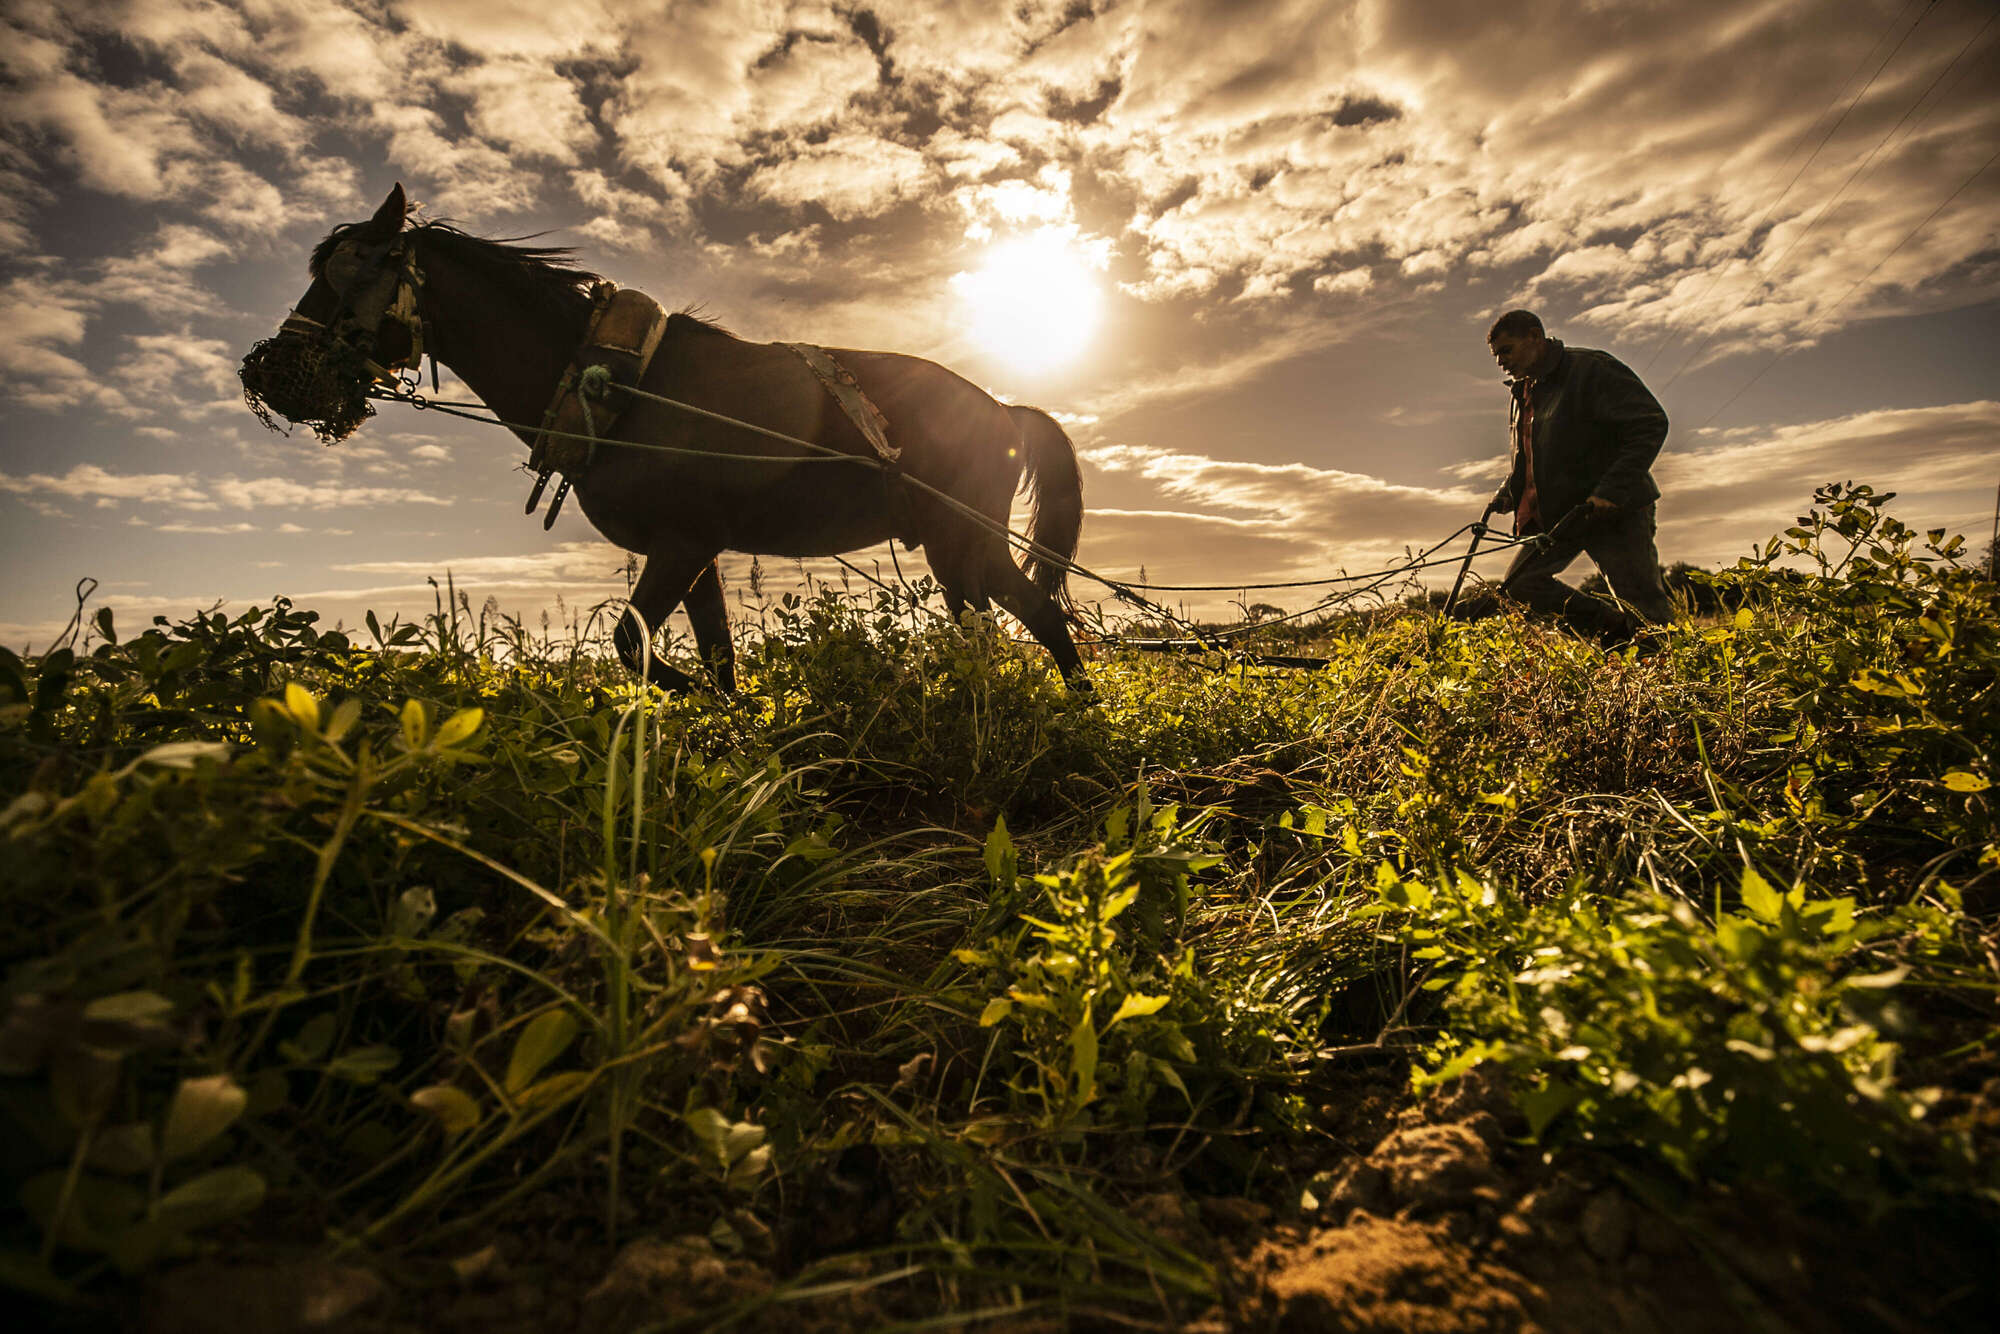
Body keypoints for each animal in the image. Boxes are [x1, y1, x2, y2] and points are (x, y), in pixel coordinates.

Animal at [240, 183, 1088, 696]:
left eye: (346, 272)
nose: (265, 370)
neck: (611, 385)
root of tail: (1003, 407)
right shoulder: (697, 549)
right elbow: (716, 661)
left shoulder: (679, 545)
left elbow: (633, 647)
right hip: (950, 553)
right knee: (986, 628)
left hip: (965, 539)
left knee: (1043, 620)